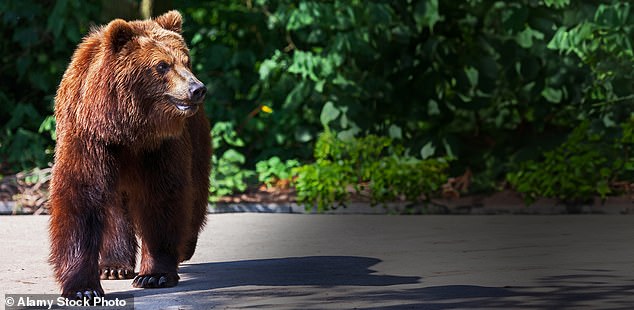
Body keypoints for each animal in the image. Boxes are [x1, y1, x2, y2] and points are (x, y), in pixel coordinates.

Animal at [48, 10, 210, 300]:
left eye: (186, 60)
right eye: (162, 65)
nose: (197, 88)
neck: (128, 127)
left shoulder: (160, 147)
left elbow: (162, 196)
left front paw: (154, 274)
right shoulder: (89, 137)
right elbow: (81, 195)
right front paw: (83, 288)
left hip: (196, 137)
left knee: (194, 193)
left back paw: (184, 247)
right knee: (115, 207)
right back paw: (114, 265)